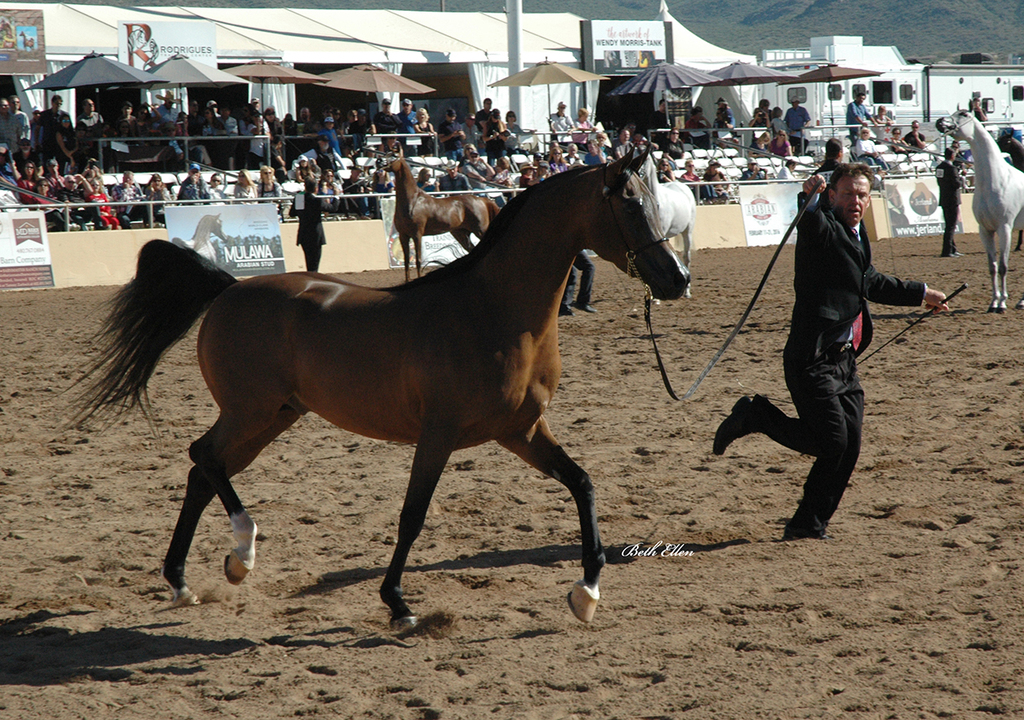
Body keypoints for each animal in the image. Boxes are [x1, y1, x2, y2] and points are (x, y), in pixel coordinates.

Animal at [387, 150, 500, 282]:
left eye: (393, 156)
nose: (379, 162)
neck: (413, 201)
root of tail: (482, 199)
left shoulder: (417, 235)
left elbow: (418, 260)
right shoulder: (403, 235)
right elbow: (406, 261)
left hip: (480, 230)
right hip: (460, 233)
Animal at [937, 110, 1024, 312]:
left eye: (963, 114)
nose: (939, 122)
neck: (997, 179)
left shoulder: (1005, 228)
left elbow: (1003, 266)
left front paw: (1002, 303)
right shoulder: (985, 230)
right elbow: (992, 267)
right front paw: (993, 302)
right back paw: (1021, 301)